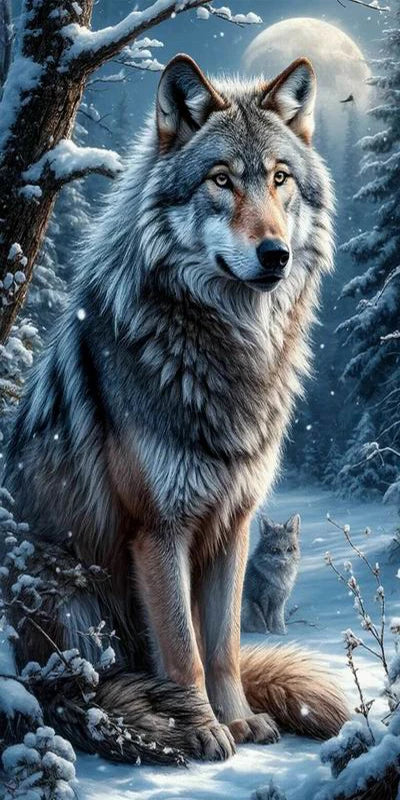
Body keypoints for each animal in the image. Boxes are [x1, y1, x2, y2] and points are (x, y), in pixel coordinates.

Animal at [5, 54, 348, 762]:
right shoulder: (158, 530)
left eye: (279, 179)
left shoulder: (234, 524)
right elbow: (185, 650)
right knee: (76, 689)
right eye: (221, 180)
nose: (274, 254)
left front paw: (239, 721)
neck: (226, 348)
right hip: (73, 595)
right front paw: (203, 730)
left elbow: (221, 647)